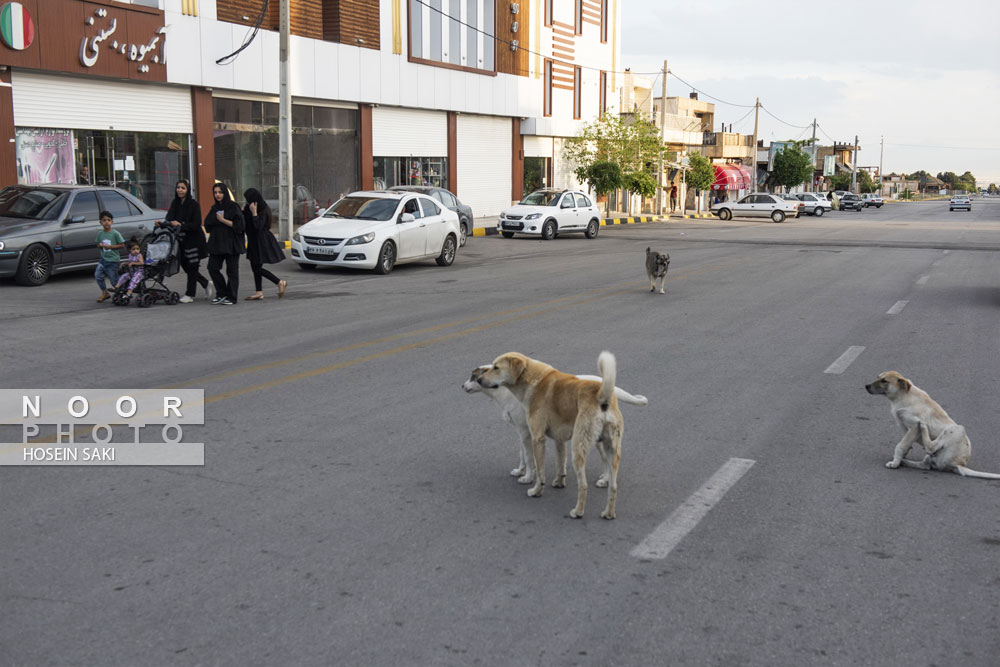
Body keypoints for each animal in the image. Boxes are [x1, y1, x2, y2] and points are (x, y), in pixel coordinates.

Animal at [476, 352, 624, 520]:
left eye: (496, 367)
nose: (478, 380)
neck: (532, 379)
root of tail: (602, 398)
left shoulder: (537, 438)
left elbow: (540, 472)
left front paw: (536, 491)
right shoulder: (559, 438)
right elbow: (560, 463)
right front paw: (559, 482)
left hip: (578, 450)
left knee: (583, 485)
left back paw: (578, 512)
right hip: (612, 450)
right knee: (613, 486)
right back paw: (609, 513)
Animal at [864, 374, 996, 478]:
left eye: (884, 381)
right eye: (878, 377)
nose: (866, 386)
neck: (902, 396)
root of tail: (959, 464)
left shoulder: (913, 427)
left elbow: (900, 445)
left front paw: (895, 462)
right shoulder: (902, 424)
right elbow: (906, 444)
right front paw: (900, 458)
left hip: (957, 428)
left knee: (930, 447)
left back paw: (923, 427)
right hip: (931, 457)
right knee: (925, 465)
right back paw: (905, 462)